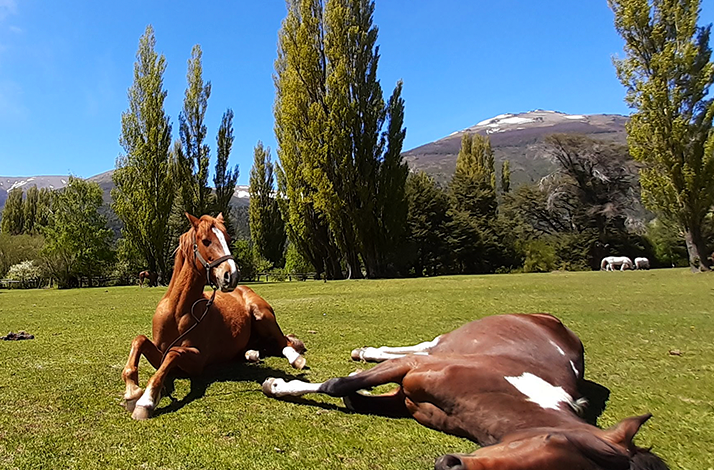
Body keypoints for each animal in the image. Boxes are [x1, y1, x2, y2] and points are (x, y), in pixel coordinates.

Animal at [121, 213, 307, 420]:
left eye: (228, 239)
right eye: (206, 241)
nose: (232, 275)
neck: (178, 312)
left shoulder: (197, 361)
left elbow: (173, 353)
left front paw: (146, 400)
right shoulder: (159, 353)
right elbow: (139, 340)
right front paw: (132, 392)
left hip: (263, 316)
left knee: (285, 343)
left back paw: (296, 359)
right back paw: (252, 354)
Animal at [262, 313, 668, 470]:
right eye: (552, 440)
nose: (452, 464)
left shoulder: (405, 400)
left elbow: (352, 392)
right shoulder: (414, 370)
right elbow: (339, 384)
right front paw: (279, 385)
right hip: (442, 344)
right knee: (421, 346)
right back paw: (365, 351)